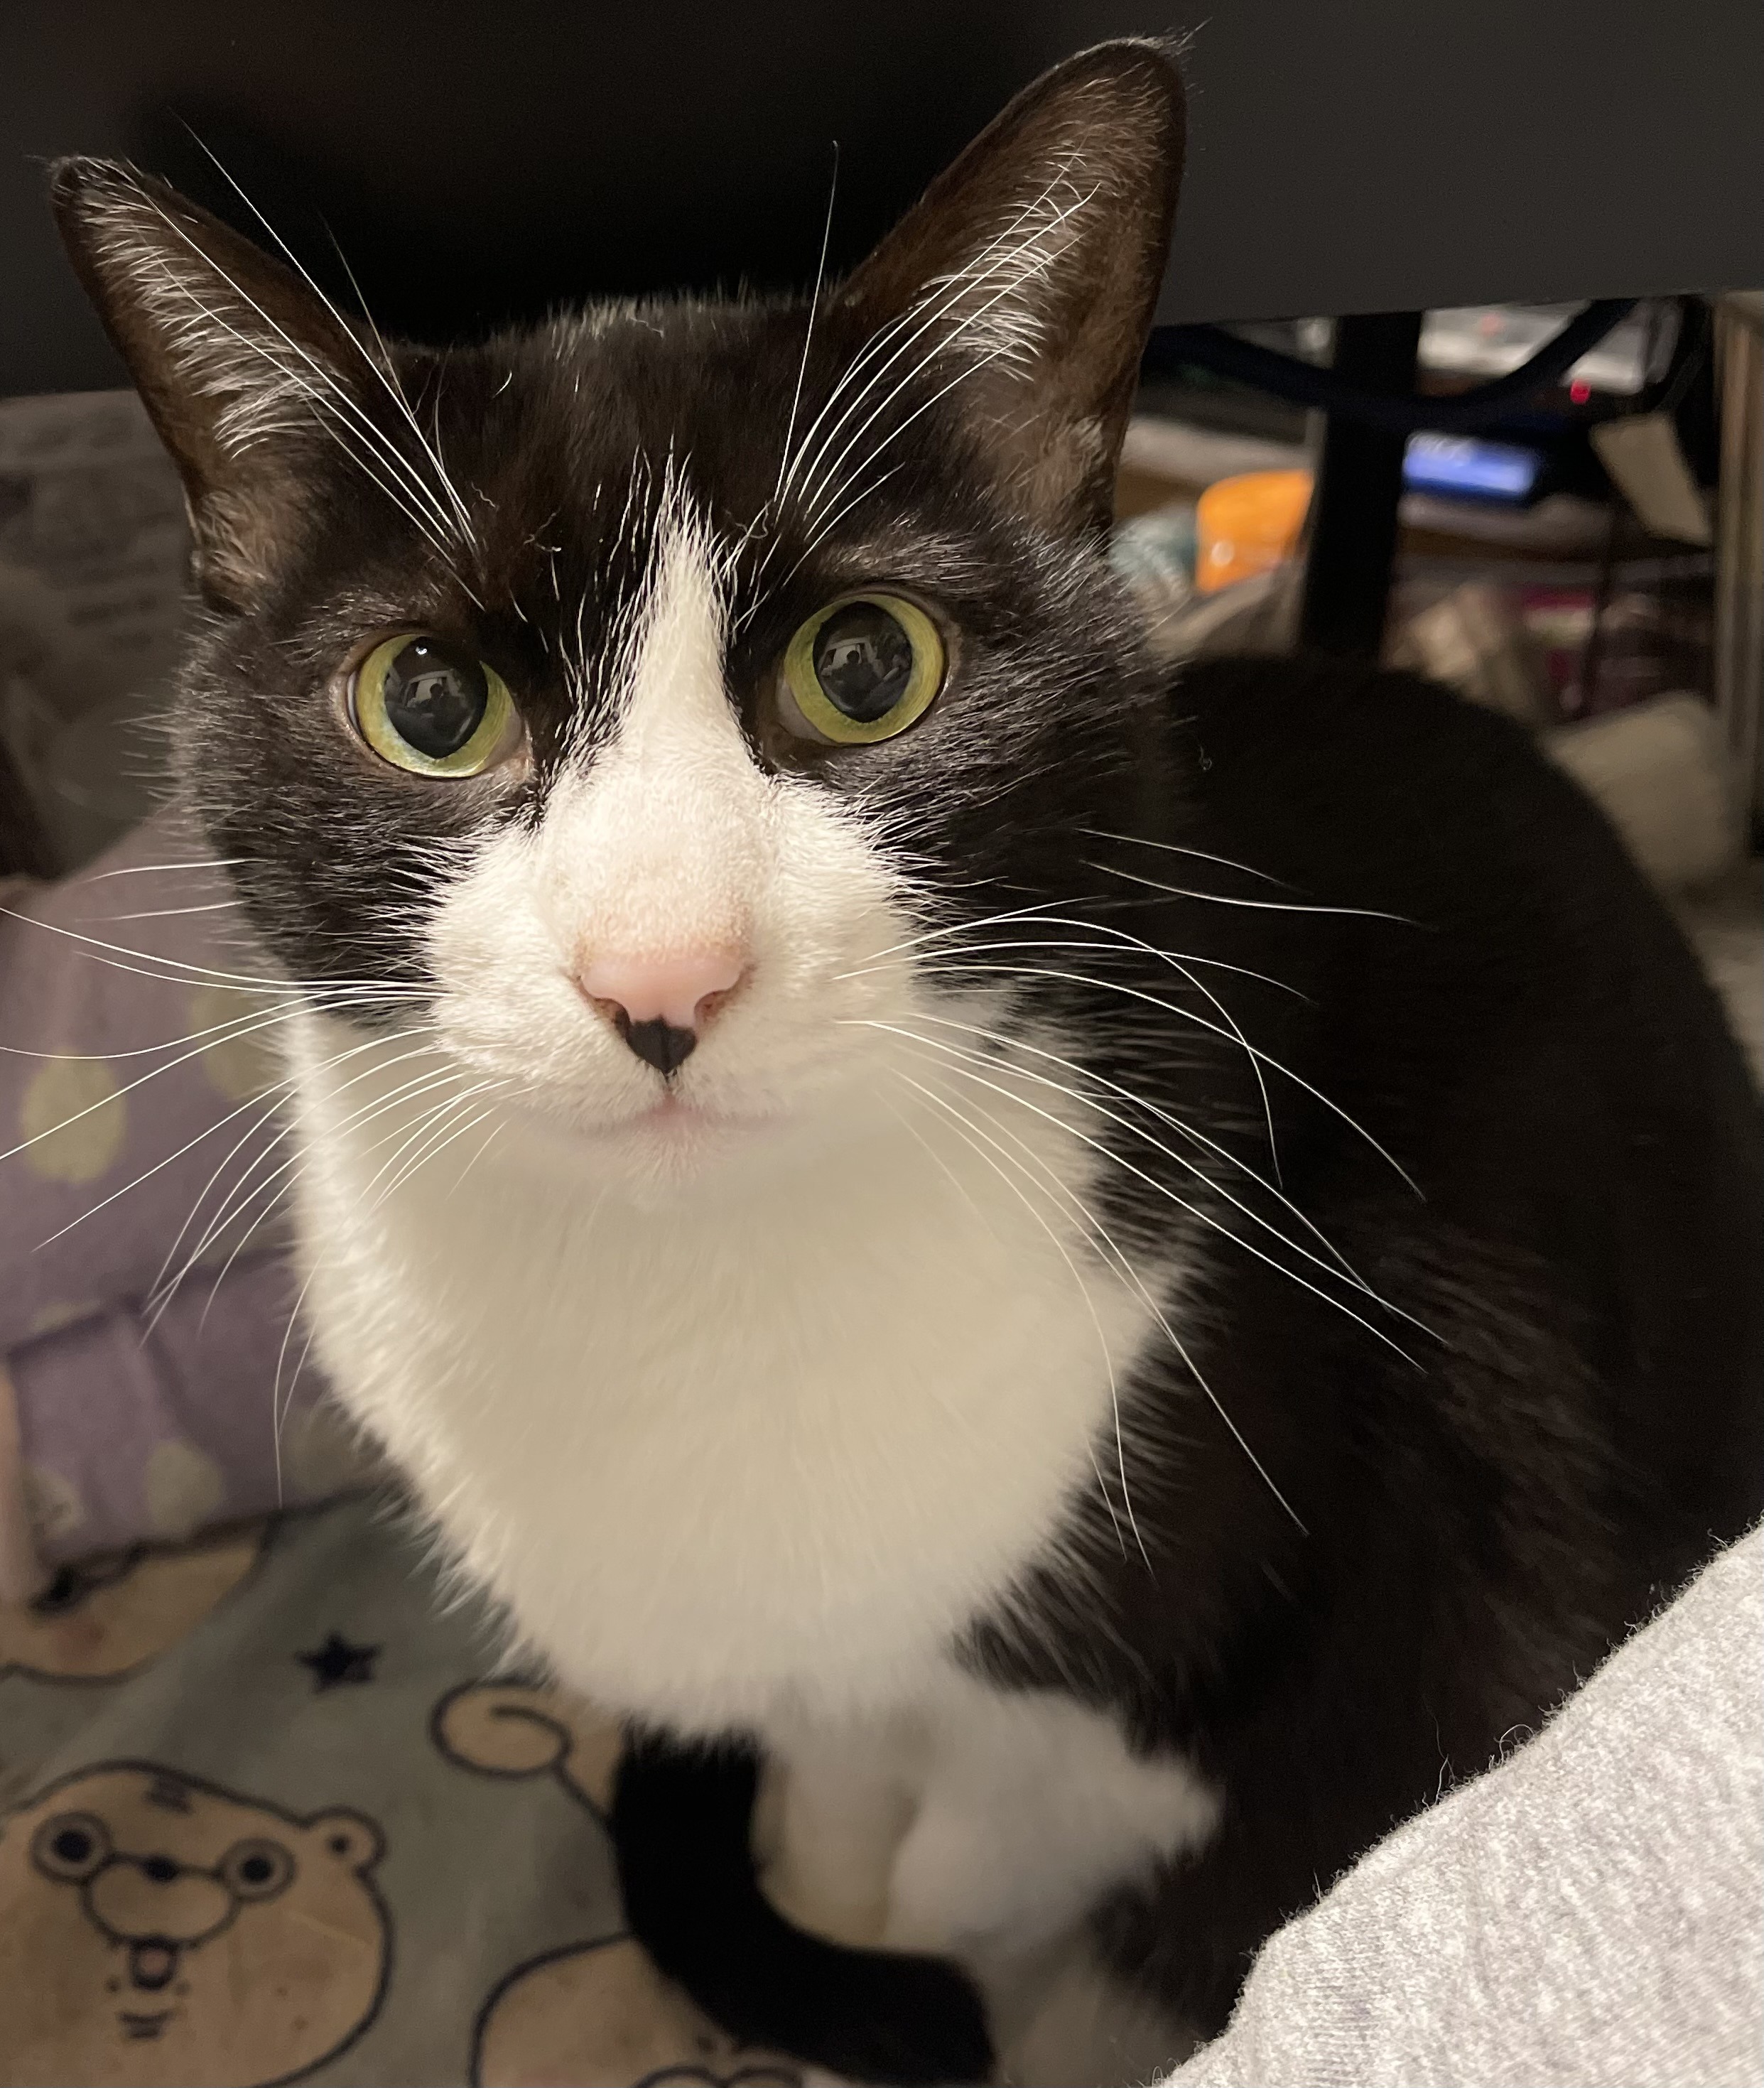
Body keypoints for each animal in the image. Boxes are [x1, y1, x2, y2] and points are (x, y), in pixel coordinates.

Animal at [51, 38, 1763, 2085]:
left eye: (867, 665)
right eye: (430, 702)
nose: (661, 973)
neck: (682, 1302)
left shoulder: (1222, 1641)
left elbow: (998, 1839)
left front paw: (898, 1957)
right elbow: (839, 1761)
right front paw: (818, 1868)